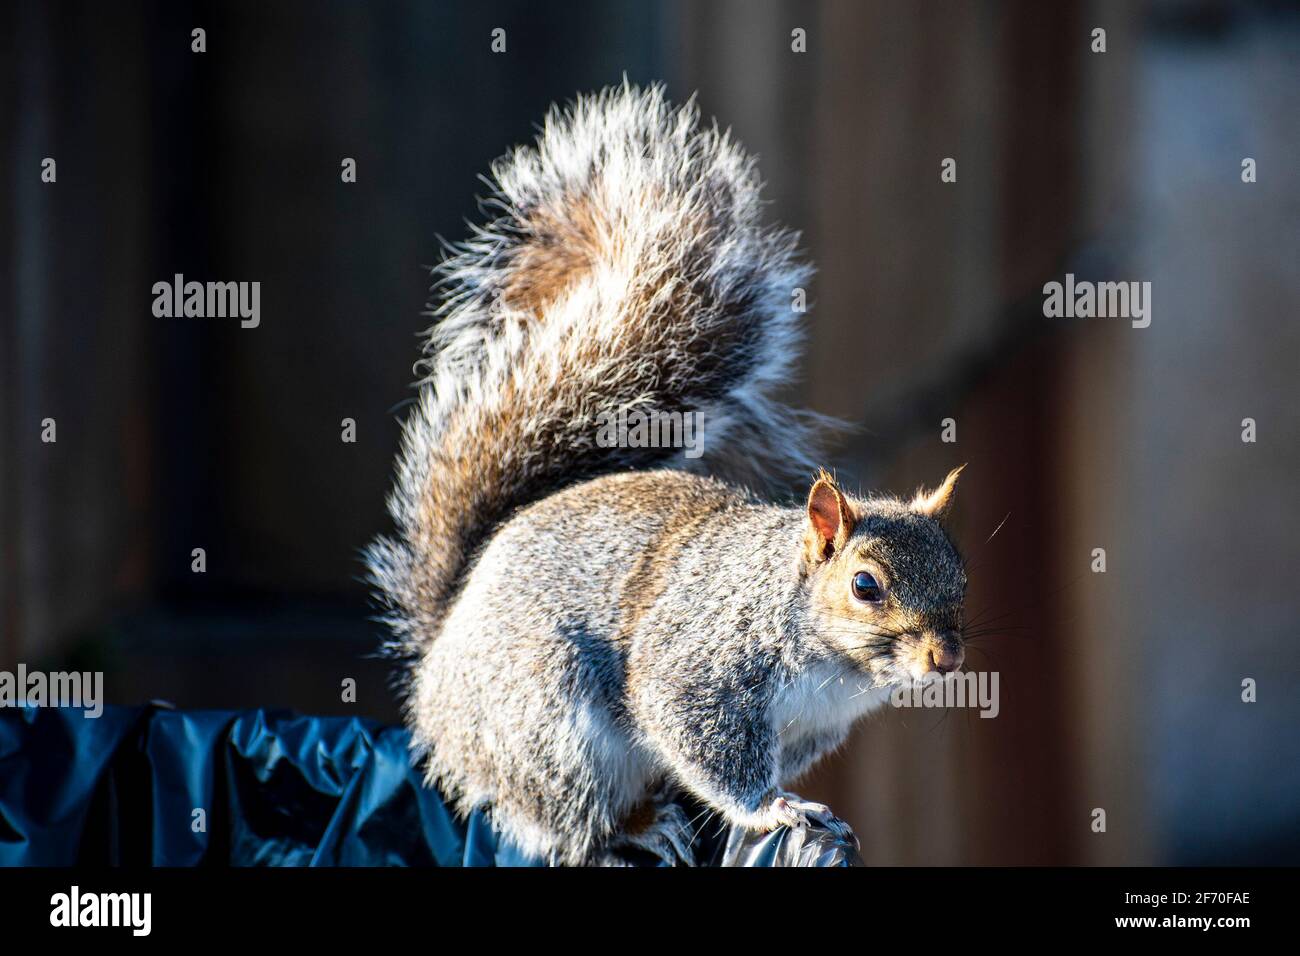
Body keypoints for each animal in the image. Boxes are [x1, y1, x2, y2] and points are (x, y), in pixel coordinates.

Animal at [366, 84, 968, 866]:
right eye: (865, 585)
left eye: (961, 574)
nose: (947, 659)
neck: (839, 665)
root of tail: (437, 663)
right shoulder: (700, 665)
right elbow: (703, 741)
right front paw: (776, 809)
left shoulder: (810, 727)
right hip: (546, 723)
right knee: (565, 818)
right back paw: (636, 825)